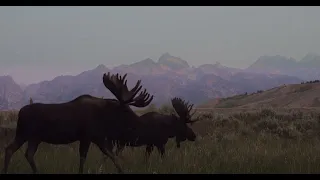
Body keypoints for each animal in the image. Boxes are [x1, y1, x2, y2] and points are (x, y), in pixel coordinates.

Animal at [0, 72, 154, 174]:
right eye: (126, 110)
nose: (140, 121)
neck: (104, 117)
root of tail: (20, 112)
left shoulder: (98, 137)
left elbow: (112, 156)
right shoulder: (87, 136)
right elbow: (83, 158)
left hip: (33, 137)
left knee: (22, 152)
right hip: (24, 134)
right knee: (14, 150)